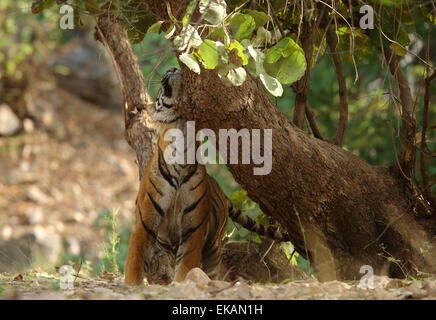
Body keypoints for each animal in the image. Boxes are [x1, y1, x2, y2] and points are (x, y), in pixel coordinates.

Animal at [124, 67, 290, 284]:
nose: (172, 68)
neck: (182, 136)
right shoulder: (144, 224)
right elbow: (134, 260)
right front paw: (132, 285)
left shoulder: (193, 231)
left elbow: (186, 267)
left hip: (213, 248)